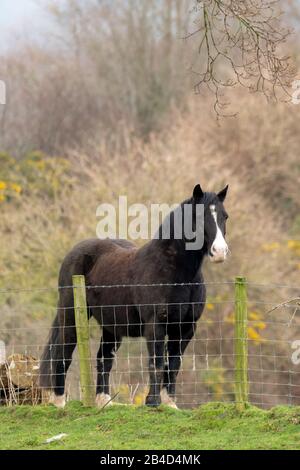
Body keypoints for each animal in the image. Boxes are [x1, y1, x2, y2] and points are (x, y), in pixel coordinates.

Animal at [38, 184, 229, 408]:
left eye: (225, 216)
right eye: (198, 216)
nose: (220, 252)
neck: (174, 272)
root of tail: (75, 253)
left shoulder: (186, 327)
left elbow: (173, 364)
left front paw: (170, 403)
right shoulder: (155, 325)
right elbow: (156, 362)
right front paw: (153, 402)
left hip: (111, 327)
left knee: (104, 358)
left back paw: (104, 401)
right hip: (71, 317)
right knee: (62, 353)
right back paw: (59, 402)